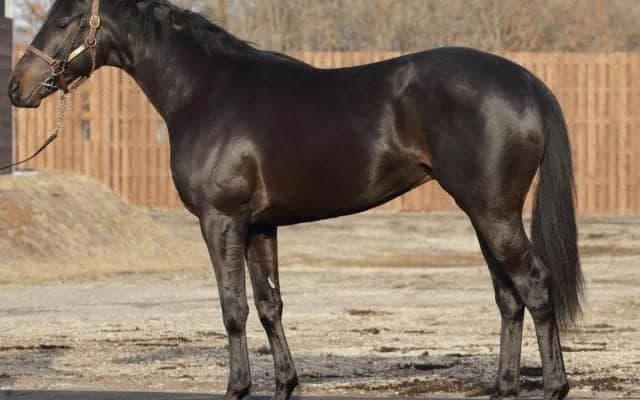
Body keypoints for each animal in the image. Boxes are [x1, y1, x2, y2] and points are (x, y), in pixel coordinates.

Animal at [8, 1, 583, 399]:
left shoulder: (221, 221)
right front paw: (285, 383)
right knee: (509, 298)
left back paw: (555, 385)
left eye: (65, 20)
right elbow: (269, 306)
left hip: (493, 213)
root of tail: (528, 82)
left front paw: (237, 387)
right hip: (484, 215)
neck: (206, 92)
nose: (17, 87)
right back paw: (503, 387)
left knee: (535, 287)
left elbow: (233, 307)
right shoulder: (260, 226)